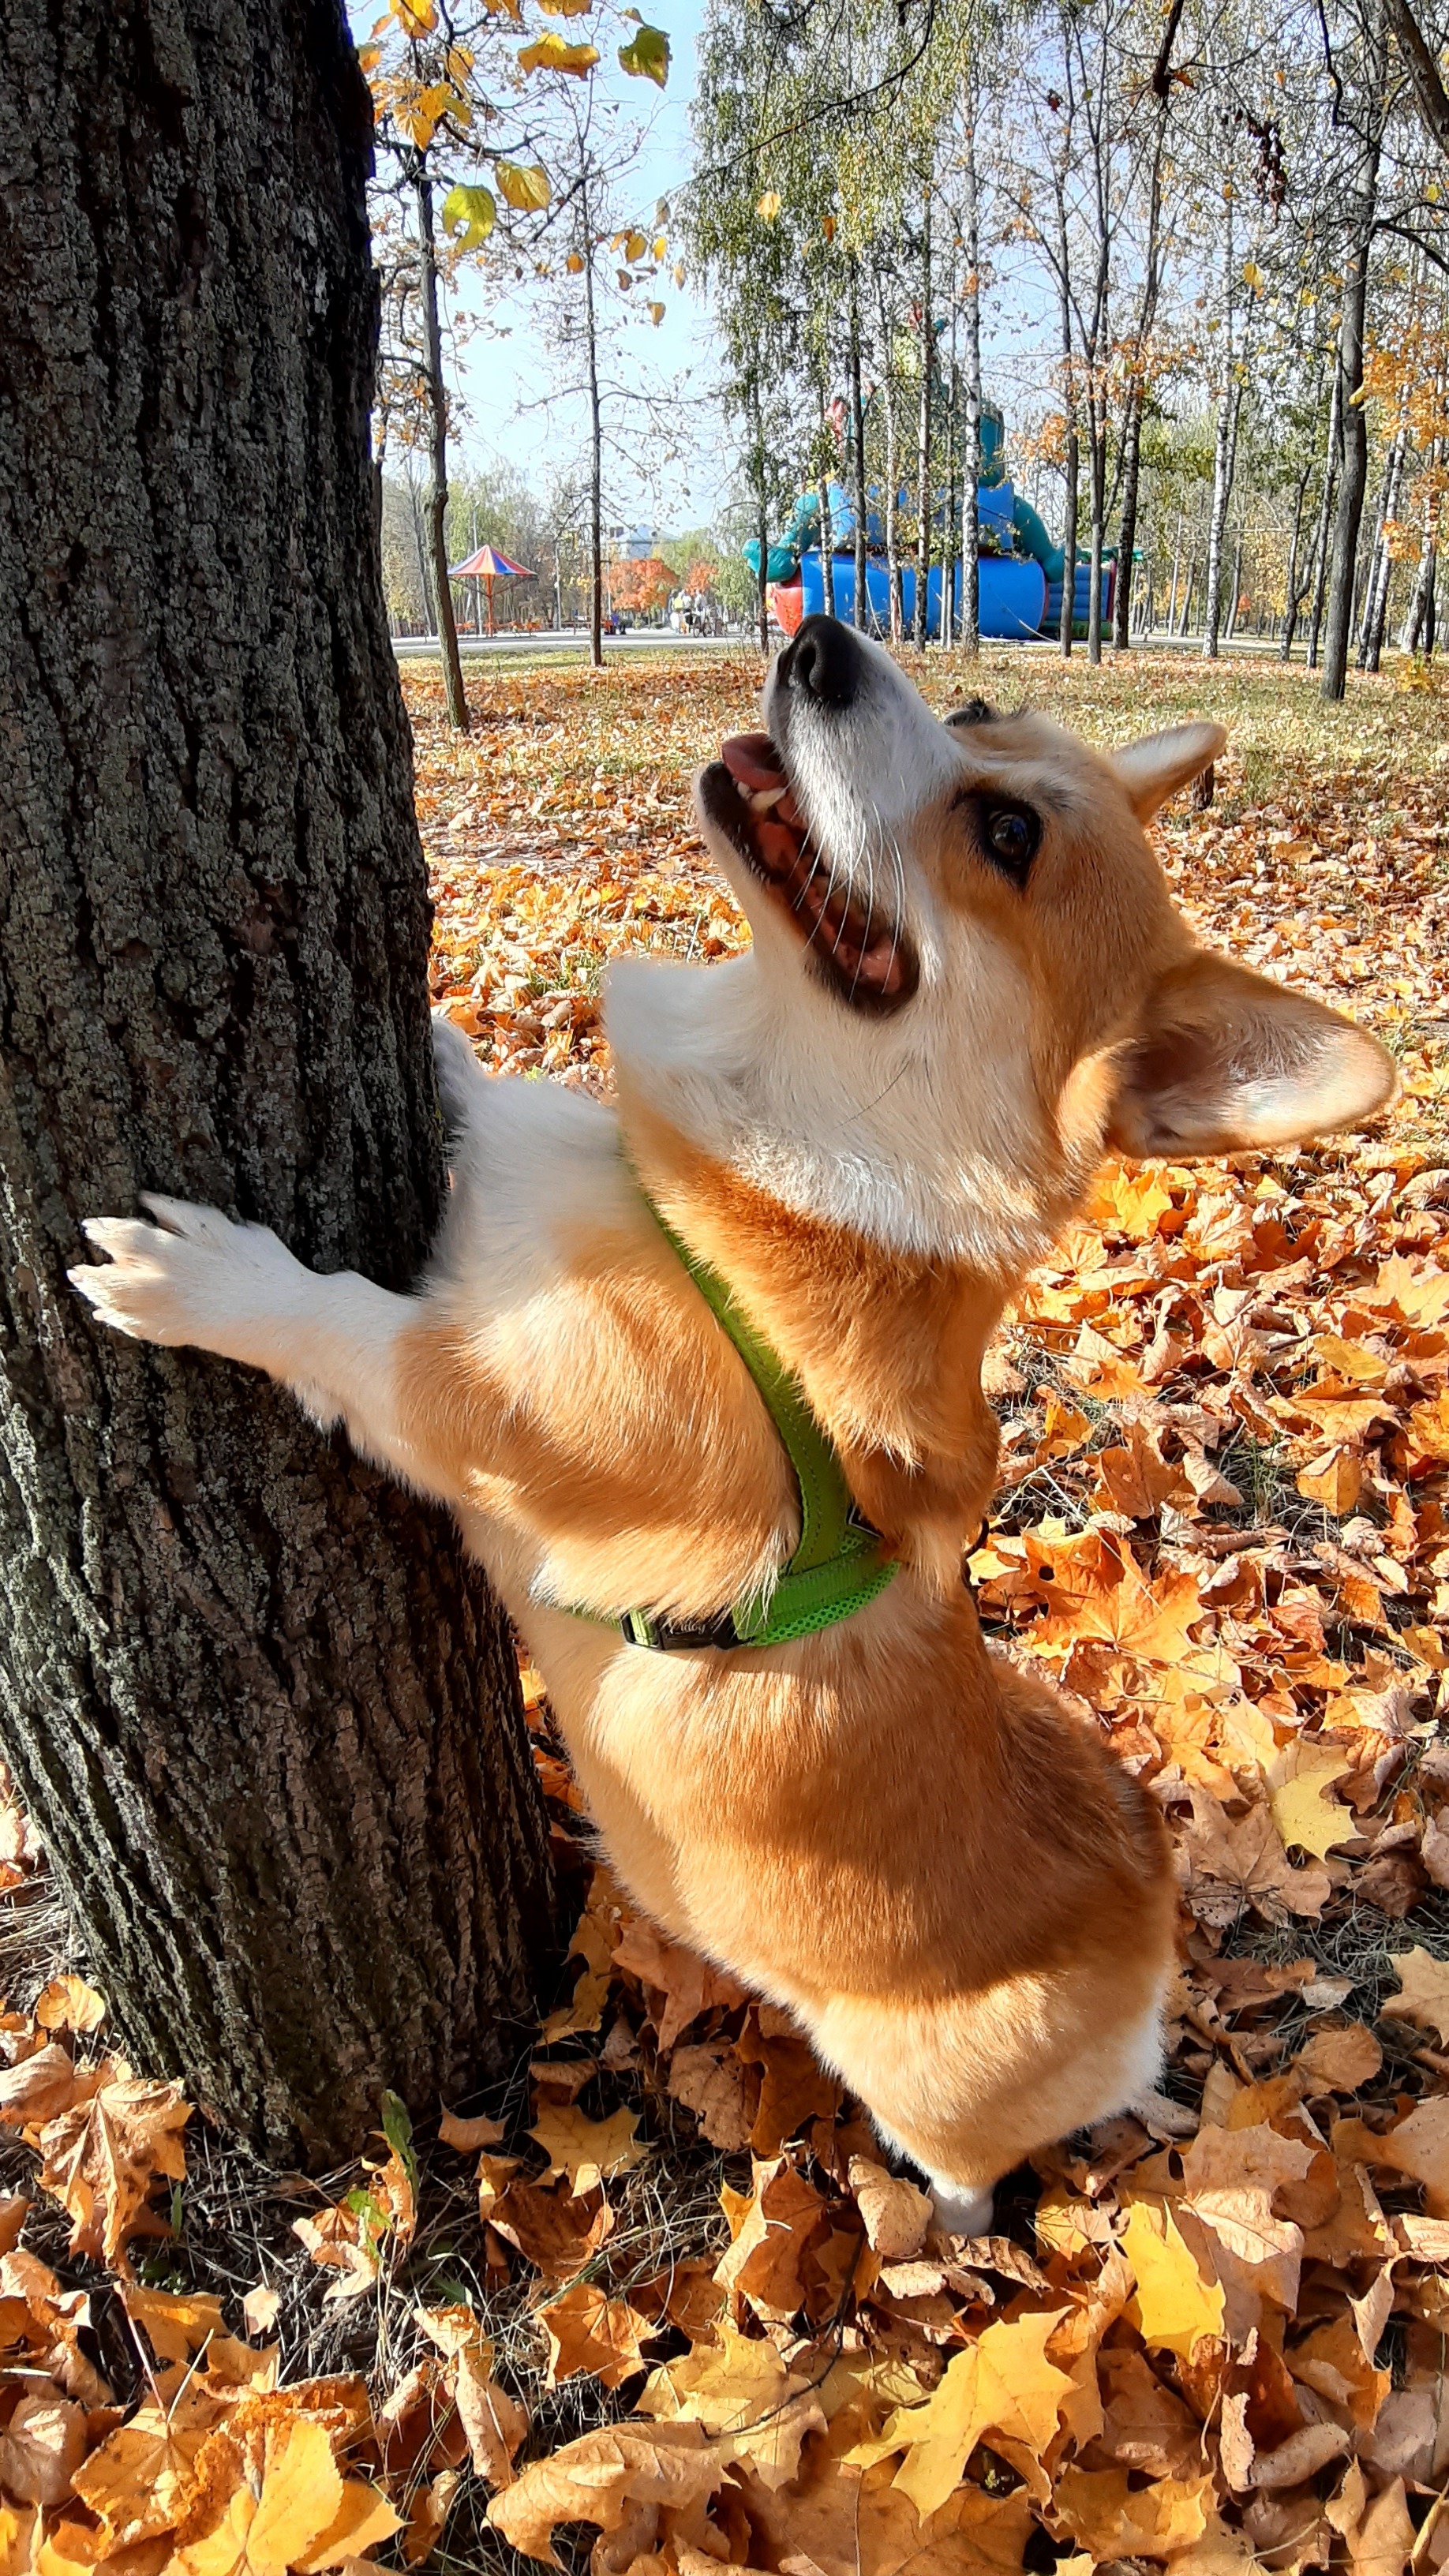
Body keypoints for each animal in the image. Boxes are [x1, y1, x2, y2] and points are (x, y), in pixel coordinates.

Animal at [67, 612, 1392, 2226]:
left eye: (1008, 835)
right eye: (975, 709)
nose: (820, 639)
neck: (720, 1207)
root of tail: (1146, 1985)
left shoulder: (476, 1401)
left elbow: (347, 1329)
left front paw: (198, 1276)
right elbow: (483, 1091)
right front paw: (446, 1032)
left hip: (925, 2089)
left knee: (970, 2169)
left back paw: (931, 2228)